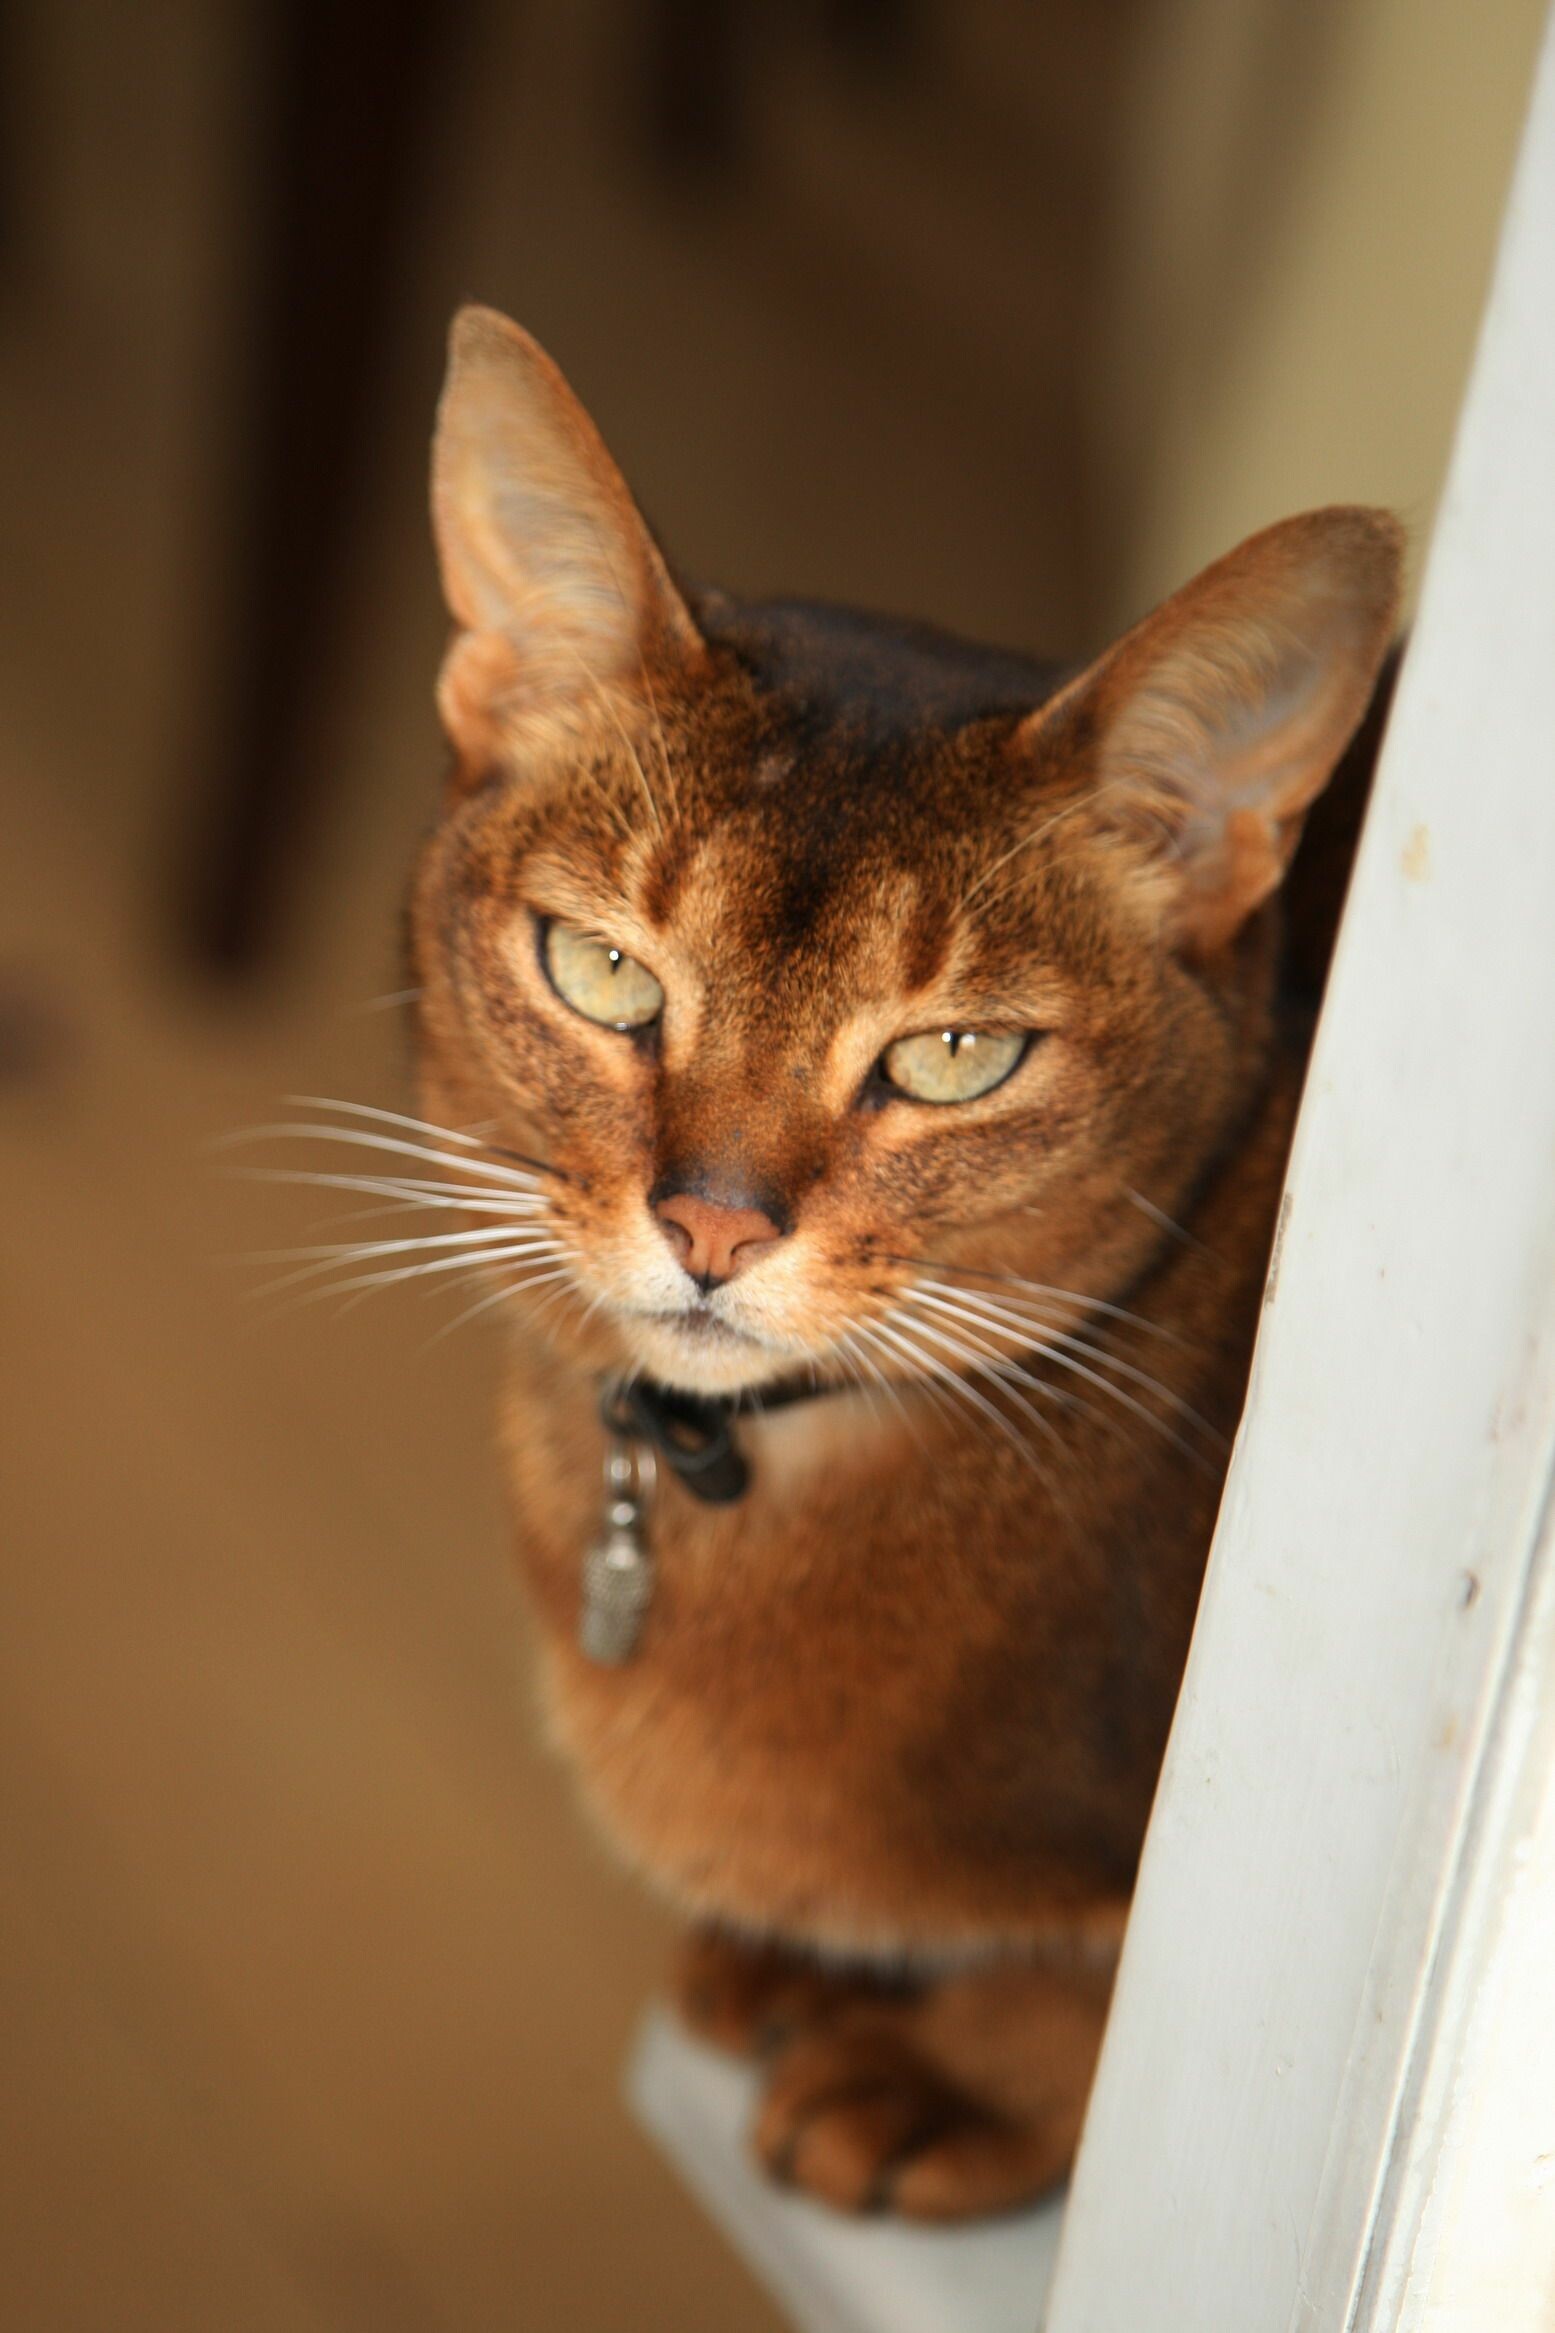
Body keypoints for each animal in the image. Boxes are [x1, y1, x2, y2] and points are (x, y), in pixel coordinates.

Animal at [400, 305, 1398, 2221]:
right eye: (604, 971)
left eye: (952, 1057)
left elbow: (1117, 1990)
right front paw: (801, 1962)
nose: (711, 1227)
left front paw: (950, 2073)